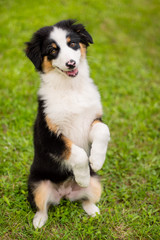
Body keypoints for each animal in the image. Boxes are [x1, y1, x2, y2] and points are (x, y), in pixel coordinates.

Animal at [25, 19, 110, 229]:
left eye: (72, 43)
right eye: (52, 50)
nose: (70, 63)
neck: (71, 88)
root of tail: (64, 193)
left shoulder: (92, 119)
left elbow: (103, 130)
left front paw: (96, 160)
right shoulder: (48, 134)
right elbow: (77, 153)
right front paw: (82, 176)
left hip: (97, 184)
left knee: (86, 199)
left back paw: (93, 211)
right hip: (37, 185)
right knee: (42, 206)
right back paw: (38, 222)